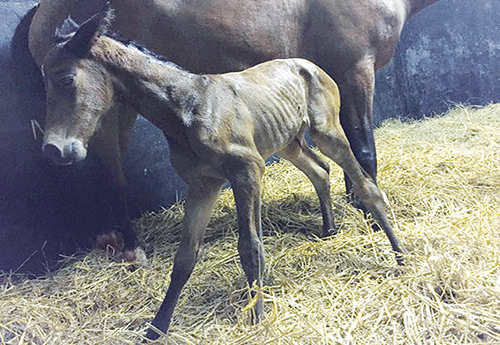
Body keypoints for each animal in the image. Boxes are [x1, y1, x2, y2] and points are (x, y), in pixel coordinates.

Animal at [28, 0, 442, 258]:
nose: (51, 149)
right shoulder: (356, 69)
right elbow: (363, 147)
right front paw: (370, 216)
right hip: (111, 111)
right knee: (109, 169)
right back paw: (131, 246)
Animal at [41, 10, 404, 338]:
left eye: (66, 79)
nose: (54, 150)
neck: (187, 109)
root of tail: (312, 65)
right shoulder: (204, 183)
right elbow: (185, 257)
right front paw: (156, 328)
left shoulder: (248, 170)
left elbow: (251, 247)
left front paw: (257, 316)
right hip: (288, 142)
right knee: (320, 171)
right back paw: (329, 229)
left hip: (327, 131)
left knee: (366, 184)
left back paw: (400, 256)